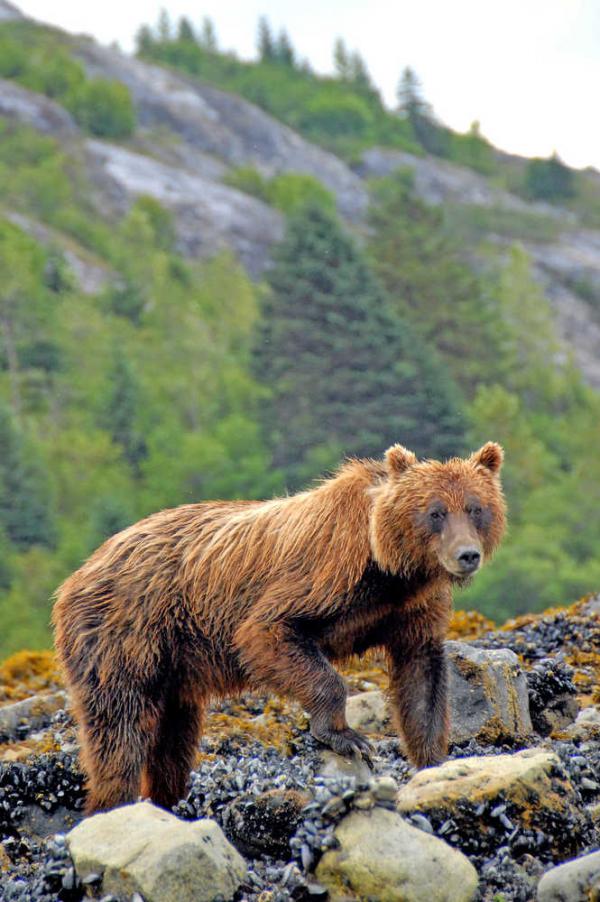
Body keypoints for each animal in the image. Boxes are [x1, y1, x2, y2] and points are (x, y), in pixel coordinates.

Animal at [52, 442, 506, 816]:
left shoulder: (412, 612)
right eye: (435, 512)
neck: (388, 568)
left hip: (173, 666)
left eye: (475, 508)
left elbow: (422, 682)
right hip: (127, 633)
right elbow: (267, 633)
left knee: (173, 740)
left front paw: (434, 762)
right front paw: (347, 736)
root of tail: (81, 569)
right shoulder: (322, 577)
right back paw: (114, 803)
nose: (466, 555)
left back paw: (167, 800)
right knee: (121, 729)